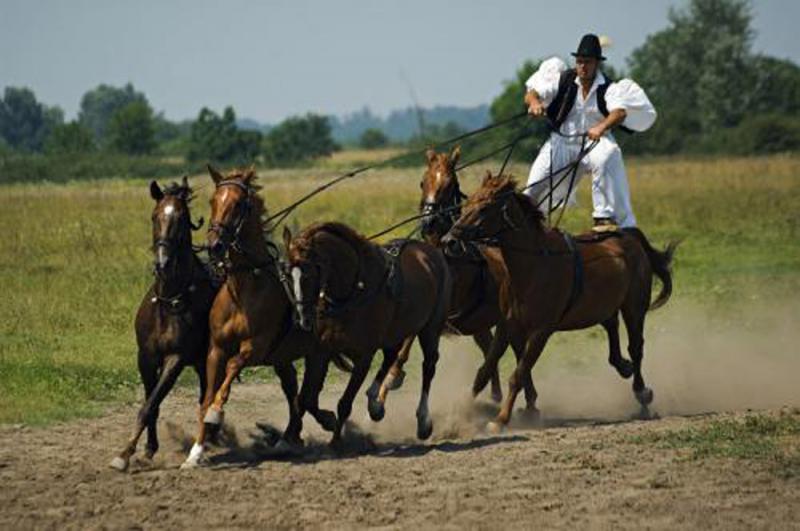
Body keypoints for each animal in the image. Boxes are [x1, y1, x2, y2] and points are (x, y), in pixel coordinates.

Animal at [111, 177, 219, 472]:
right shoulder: (146, 357)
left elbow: (149, 404)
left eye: (181, 219)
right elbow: (152, 404)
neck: (170, 301)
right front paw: (148, 449)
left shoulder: (176, 359)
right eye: (154, 216)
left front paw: (124, 454)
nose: (163, 262)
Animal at [182, 167, 340, 470]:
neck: (242, 291)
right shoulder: (216, 349)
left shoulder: (255, 347)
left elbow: (232, 368)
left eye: (238, 204)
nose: (214, 245)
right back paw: (297, 434)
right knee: (296, 394)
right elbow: (207, 394)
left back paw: (309, 429)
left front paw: (216, 413)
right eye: (213, 201)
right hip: (283, 359)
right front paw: (195, 452)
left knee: (307, 394)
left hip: (317, 354)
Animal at [284, 221, 454, 444]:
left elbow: (344, 403)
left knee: (429, 366)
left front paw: (336, 441)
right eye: (287, 275)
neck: (353, 291)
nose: (301, 319)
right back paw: (375, 402)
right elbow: (305, 398)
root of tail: (431, 252)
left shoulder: (364, 356)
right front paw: (300, 433)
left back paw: (423, 421)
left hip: (430, 328)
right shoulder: (321, 351)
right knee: (391, 356)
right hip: (395, 332)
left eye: (310, 274)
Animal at [446, 175, 680, 432]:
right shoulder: (506, 325)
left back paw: (642, 393)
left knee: (636, 347)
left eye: (485, 207)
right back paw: (623, 366)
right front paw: (460, 414)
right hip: (602, 305)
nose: (449, 240)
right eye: (467, 204)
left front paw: (500, 419)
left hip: (634, 308)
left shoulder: (540, 331)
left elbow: (518, 374)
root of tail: (627, 236)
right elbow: (485, 370)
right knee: (611, 326)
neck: (534, 264)